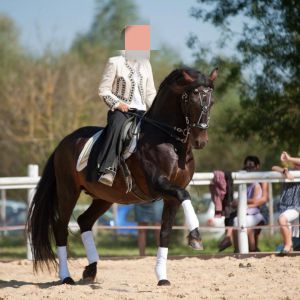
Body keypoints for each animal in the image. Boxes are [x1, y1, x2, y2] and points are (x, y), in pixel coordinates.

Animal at [26, 65, 218, 286]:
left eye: (211, 102)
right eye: (193, 99)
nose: (200, 141)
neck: (169, 140)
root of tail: (63, 143)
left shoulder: (170, 197)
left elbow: (165, 233)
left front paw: (162, 277)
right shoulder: (159, 184)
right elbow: (184, 195)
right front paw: (196, 236)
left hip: (104, 197)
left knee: (84, 221)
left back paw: (91, 270)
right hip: (68, 191)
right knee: (60, 226)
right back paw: (66, 277)